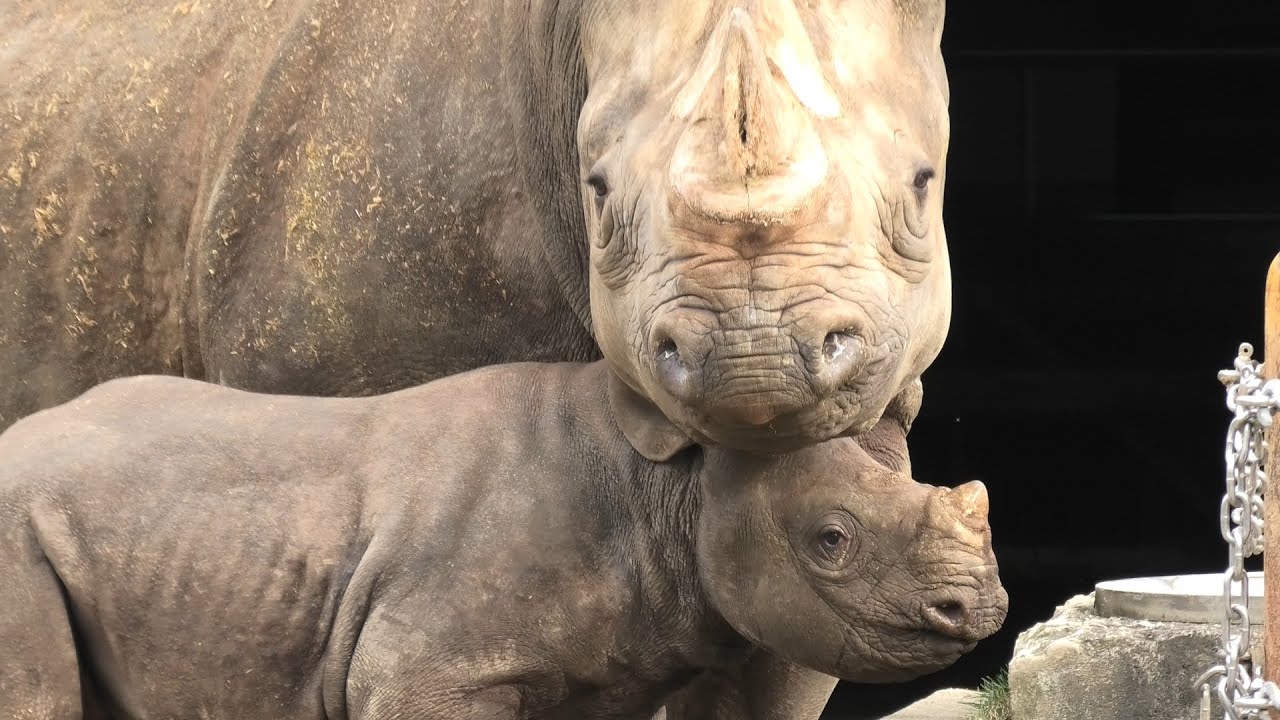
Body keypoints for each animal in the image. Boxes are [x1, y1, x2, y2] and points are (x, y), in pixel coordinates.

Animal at [0, 361, 1006, 720]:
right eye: (831, 540)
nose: (982, 607)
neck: (670, 490)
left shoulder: (609, 673)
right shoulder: (431, 673)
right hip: (15, 537)